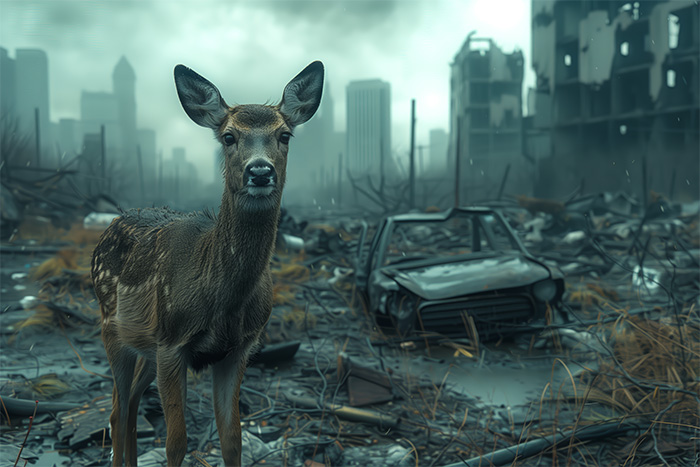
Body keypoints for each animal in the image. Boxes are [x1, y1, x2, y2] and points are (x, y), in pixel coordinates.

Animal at [91, 61, 324, 466]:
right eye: (229, 137)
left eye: (285, 135)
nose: (259, 171)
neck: (222, 297)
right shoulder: (172, 342)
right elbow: (176, 442)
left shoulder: (238, 349)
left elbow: (232, 438)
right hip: (111, 326)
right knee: (117, 409)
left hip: (145, 344)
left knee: (131, 402)